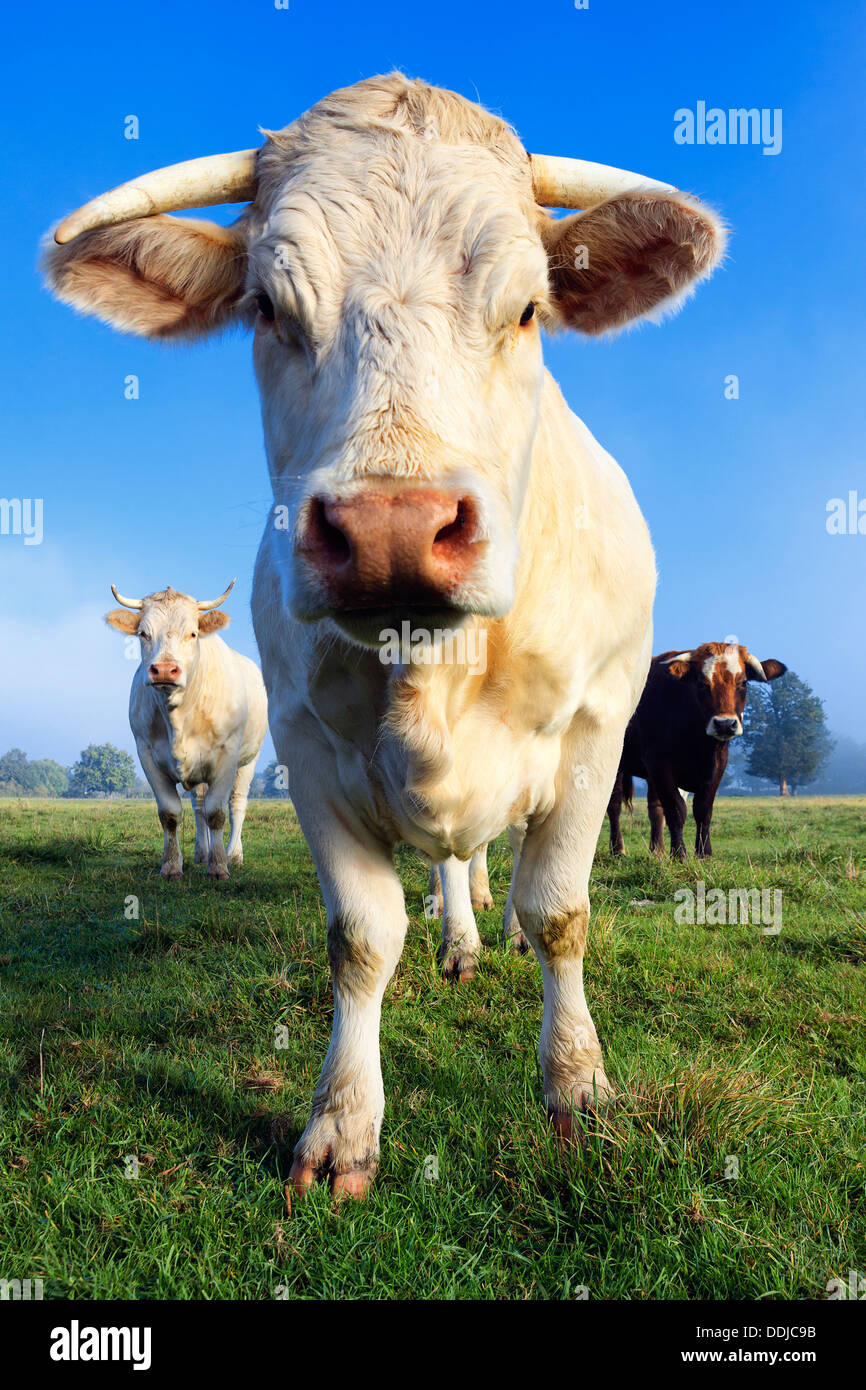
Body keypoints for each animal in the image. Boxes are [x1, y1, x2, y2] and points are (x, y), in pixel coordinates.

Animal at [105, 582, 268, 880]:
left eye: (192, 633)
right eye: (143, 633)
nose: (164, 670)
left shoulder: (227, 756)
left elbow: (217, 812)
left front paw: (219, 867)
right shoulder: (147, 755)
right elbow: (171, 813)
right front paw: (171, 866)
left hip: (250, 759)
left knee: (237, 803)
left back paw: (233, 854)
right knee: (199, 805)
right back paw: (202, 853)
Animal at [607, 643, 786, 859]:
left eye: (743, 683)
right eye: (702, 684)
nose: (725, 724)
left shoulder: (718, 764)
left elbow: (703, 809)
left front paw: (704, 854)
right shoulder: (658, 764)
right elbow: (676, 810)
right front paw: (679, 854)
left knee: (654, 809)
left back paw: (657, 851)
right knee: (614, 805)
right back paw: (618, 850)